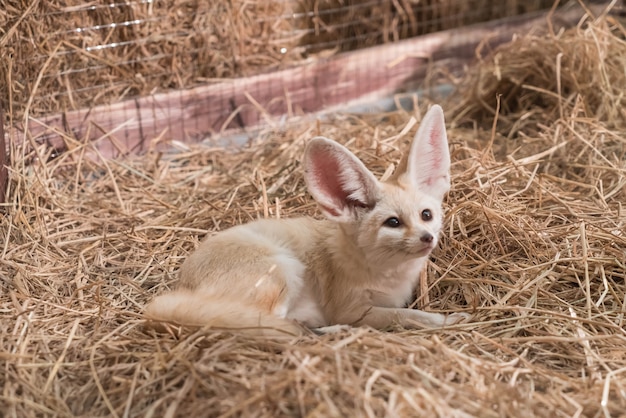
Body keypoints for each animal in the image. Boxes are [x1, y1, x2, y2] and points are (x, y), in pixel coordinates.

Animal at [144, 105, 466, 336]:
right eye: (393, 223)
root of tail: (178, 288)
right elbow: (408, 315)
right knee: (273, 323)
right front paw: (447, 320)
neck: (387, 272)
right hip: (285, 270)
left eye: (426, 215)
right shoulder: (354, 309)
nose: (427, 238)